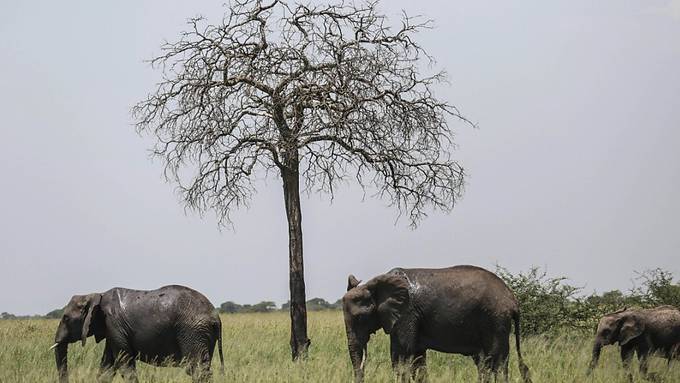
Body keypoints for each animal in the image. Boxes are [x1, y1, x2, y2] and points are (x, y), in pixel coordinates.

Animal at [51, 284, 226, 383]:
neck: (96, 295)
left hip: (193, 331)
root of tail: (216, 317)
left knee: (196, 369)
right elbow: (107, 366)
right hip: (201, 334)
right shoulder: (112, 331)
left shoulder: (114, 324)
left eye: (66, 318)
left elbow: (124, 364)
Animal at [342, 266, 532, 383]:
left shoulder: (406, 314)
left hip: (495, 320)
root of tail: (513, 299)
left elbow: (401, 356)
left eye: (361, 318)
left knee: (495, 361)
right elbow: (417, 359)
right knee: (485, 362)